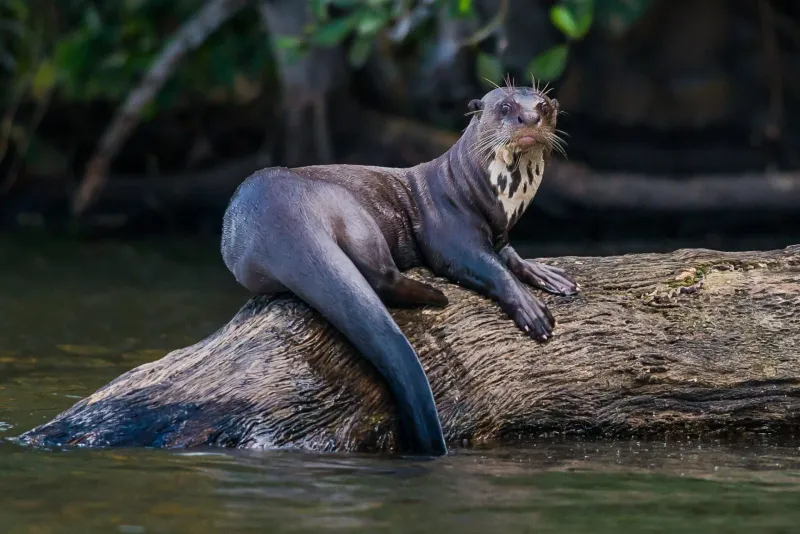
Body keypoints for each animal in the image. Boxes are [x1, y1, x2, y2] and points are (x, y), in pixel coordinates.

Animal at [222, 81, 580, 458]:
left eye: (543, 107)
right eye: (506, 107)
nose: (529, 118)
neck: (477, 191)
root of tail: (279, 214)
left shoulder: (499, 234)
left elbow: (509, 255)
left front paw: (548, 275)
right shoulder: (450, 232)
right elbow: (488, 267)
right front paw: (531, 310)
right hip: (350, 210)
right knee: (380, 276)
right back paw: (435, 296)